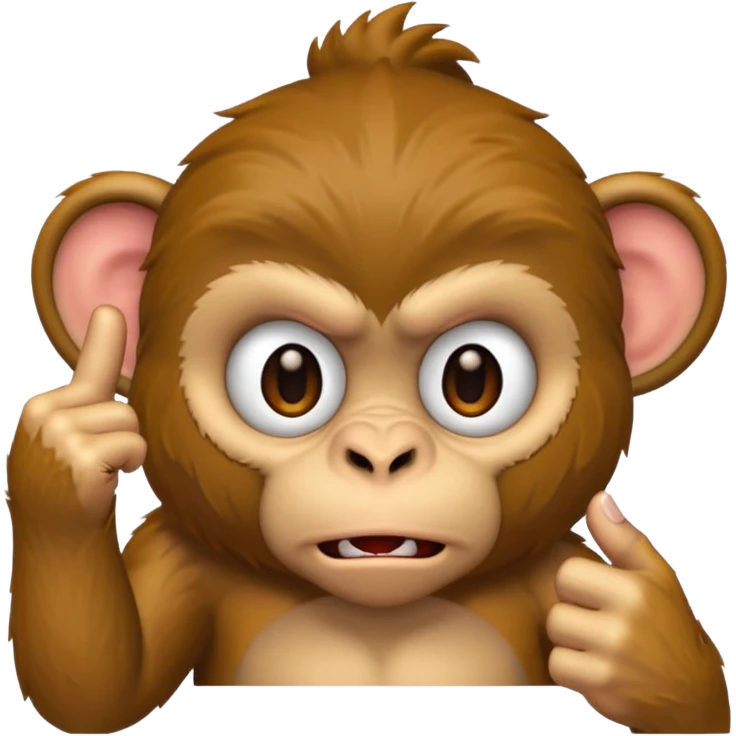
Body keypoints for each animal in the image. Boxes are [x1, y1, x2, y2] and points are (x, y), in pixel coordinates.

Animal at [6, 3, 729, 733]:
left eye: (473, 380)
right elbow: (99, 688)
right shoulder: (184, 557)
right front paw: (70, 451)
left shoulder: (554, 566)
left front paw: (641, 640)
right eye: (289, 379)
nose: (381, 454)